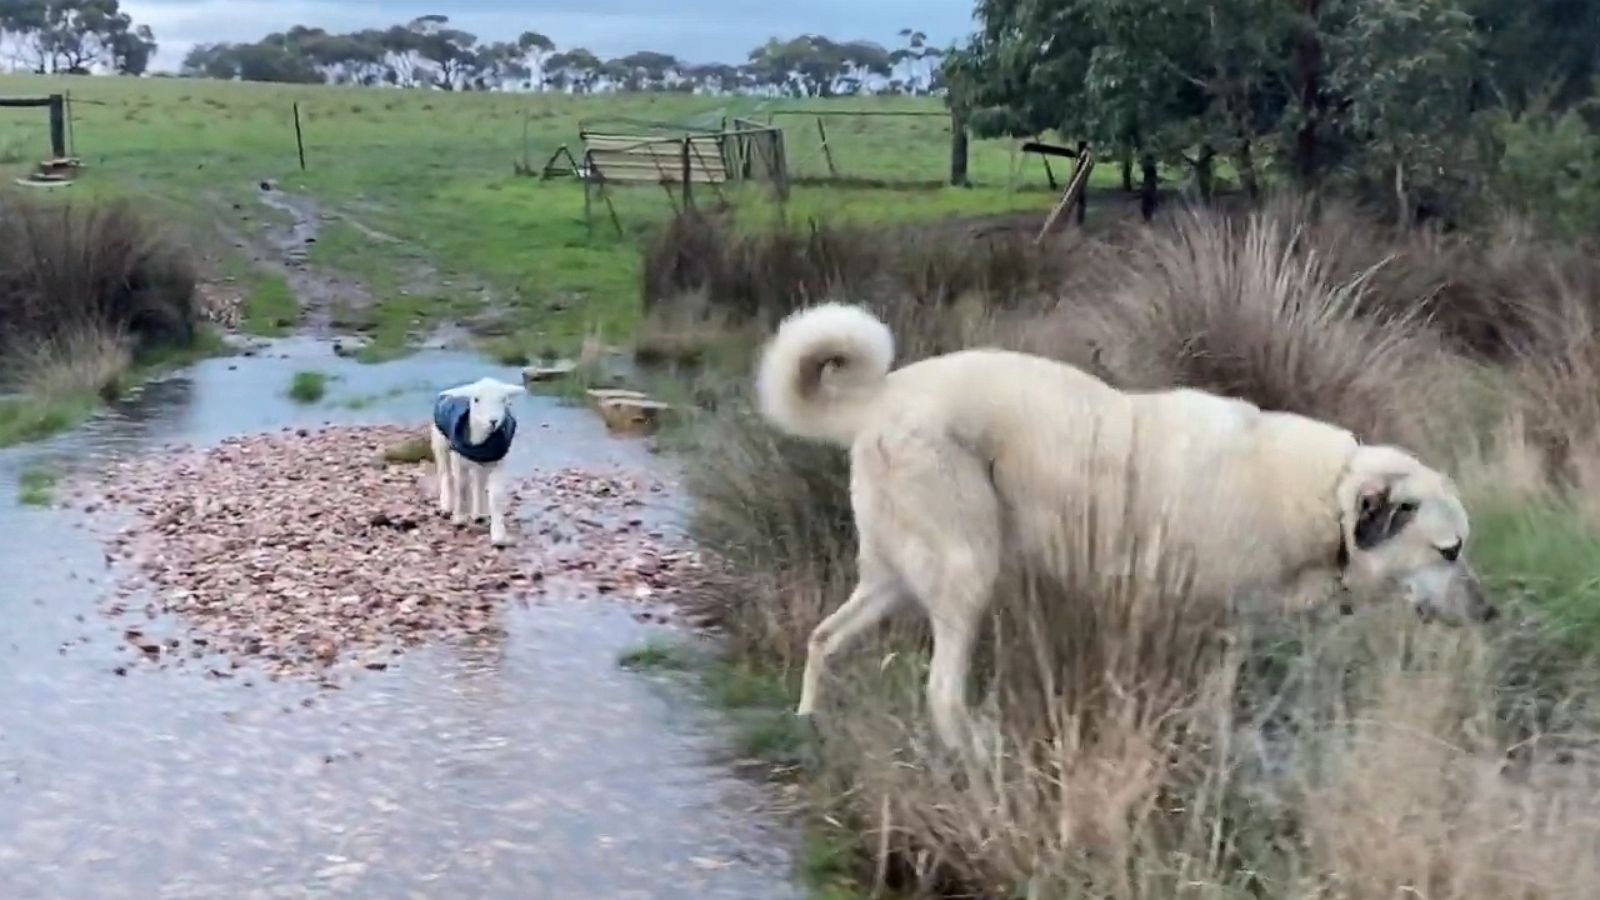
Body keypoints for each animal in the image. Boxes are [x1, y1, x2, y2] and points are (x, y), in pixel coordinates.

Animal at [432, 374, 524, 544]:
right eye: (476, 399)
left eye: (504, 399)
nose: (493, 421)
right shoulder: (458, 458)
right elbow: (461, 486)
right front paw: (459, 518)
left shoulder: (498, 461)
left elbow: (496, 496)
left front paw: (498, 535)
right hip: (440, 443)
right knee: (446, 475)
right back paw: (447, 507)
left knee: (478, 484)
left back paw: (479, 514)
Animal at [755, 301, 1491, 749]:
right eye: (1450, 550)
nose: (1490, 614)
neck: (1325, 497)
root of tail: (884, 395)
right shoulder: (1171, 610)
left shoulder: (1221, 627)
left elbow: (1214, 698)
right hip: (968, 571)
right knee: (940, 693)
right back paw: (974, 758)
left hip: (893, 579)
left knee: (824, 638)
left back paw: (808, 724)